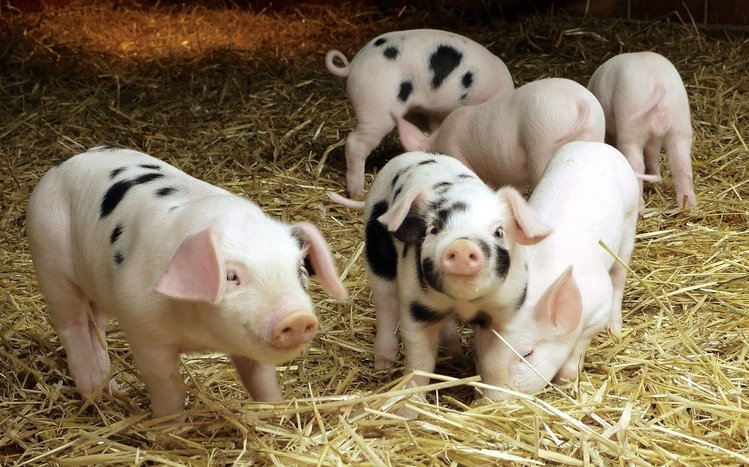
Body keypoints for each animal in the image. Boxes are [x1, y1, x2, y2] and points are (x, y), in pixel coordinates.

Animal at [26, 146, 347, 419]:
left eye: (300, 271)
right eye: (231, 276)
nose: (297, 317)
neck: (199, 334)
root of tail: (63, 163)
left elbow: (262, 381)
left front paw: (276, 413)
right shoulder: (144, 331)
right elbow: (169, 388)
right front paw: (167, 431)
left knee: (98, 324)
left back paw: (113, 388)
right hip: (50, 263)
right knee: (72, 325)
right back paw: (94, 393)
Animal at [360, 151, 551, 403]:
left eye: (499, 231)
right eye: (433, 229)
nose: (461, 245)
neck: (463, 304)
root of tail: (411, 154)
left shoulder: (506, 311)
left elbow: (494, 364)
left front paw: (494, 402)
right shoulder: (416, 309)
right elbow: (419, 365)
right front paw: (409, 407)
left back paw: (455, 355)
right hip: (377, 251)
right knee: (385, 304)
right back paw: (382, 364)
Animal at [477, 141, 639, 400]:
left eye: (528, 354)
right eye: (481, 347)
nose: (492, 399)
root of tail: (595, 144)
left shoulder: (597, 308)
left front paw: (565, 382)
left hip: (630, 218)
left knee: (619, 277)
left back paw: (616, 330)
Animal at [587, 51, 697, 212]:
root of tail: (658, 83)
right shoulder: (655, 137)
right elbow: (652, 155)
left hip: (630, 125)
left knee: (636, 164)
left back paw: (639, 210)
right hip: (680, 124)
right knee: (680, 163)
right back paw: (688, 205)